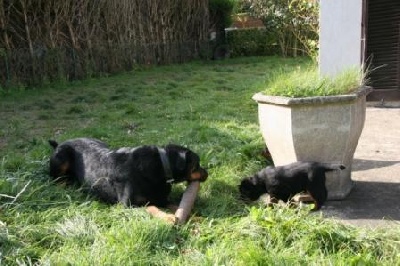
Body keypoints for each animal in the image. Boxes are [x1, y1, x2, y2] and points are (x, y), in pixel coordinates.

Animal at [48, 138, 208, 221]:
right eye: (197, 165)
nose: (207, 173)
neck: (161, 166)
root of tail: (60, 142)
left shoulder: (162, 198)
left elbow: (176, 206)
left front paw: (194, 216)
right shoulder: (129, 204)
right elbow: (151, 207)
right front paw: (168, 217)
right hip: (61, 157)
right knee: (55, 180)